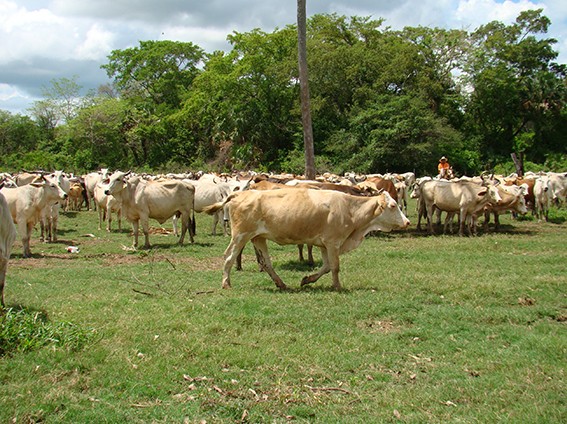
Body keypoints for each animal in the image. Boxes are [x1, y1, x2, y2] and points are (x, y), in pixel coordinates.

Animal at [204, 188, 408, 290]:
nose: (407, 221)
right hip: (240, 236)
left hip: (258, 238)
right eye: (393, 205)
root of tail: (241, 193)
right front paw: (337, 286)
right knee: (229, 257)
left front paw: (307, 280)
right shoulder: (333, 242)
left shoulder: (325, 245)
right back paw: (226, 283)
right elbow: (335, 267)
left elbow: (326, 267)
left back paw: (281, 284)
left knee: (266, 263)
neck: (350, 209)